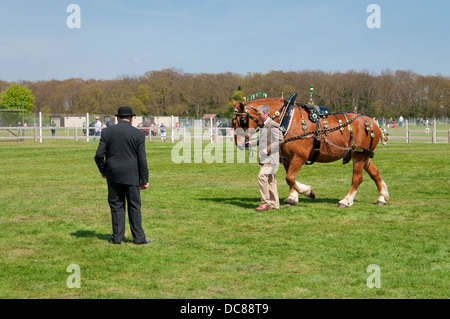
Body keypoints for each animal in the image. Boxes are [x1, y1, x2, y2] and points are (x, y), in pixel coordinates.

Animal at [230, 94, 388, 210]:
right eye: (232, 122)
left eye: (243, 121)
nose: (240, 144)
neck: (286, 117)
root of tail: (372, 122)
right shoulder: (287, 158)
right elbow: (290, 179)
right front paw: (292, 198)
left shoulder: (299, 157)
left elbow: (290, 177)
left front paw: (308, 191)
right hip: (363, 155)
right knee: (375, 173)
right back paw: (382, 197)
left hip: (359, 155)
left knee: (357, 178)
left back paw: (346, 200)